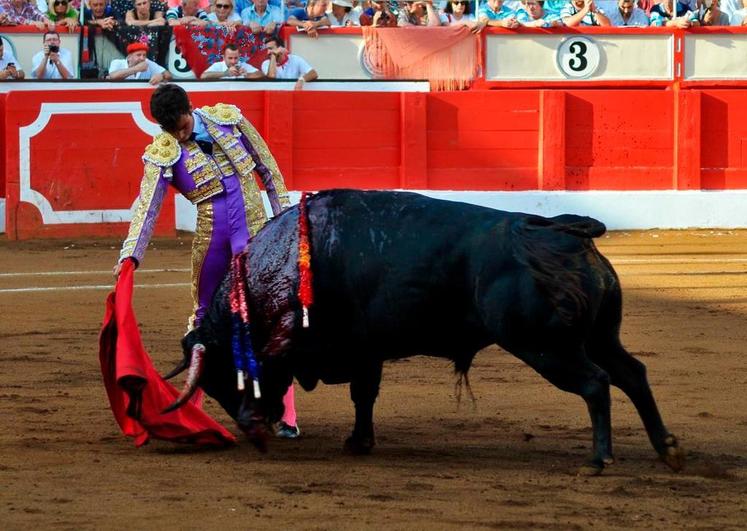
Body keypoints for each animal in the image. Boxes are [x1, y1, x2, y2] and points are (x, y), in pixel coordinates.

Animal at [168, 190, 684, 474]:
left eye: (218, 375)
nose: (248, 424)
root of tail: (555, 229)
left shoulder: (307, 343)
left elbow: (296, 373)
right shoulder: (365, 350)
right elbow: (364, 395)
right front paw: (360, 442)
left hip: (545, 346)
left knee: (596, 383)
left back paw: (598, 460)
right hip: (598, 337)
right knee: (632, 374)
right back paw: (666, 448)